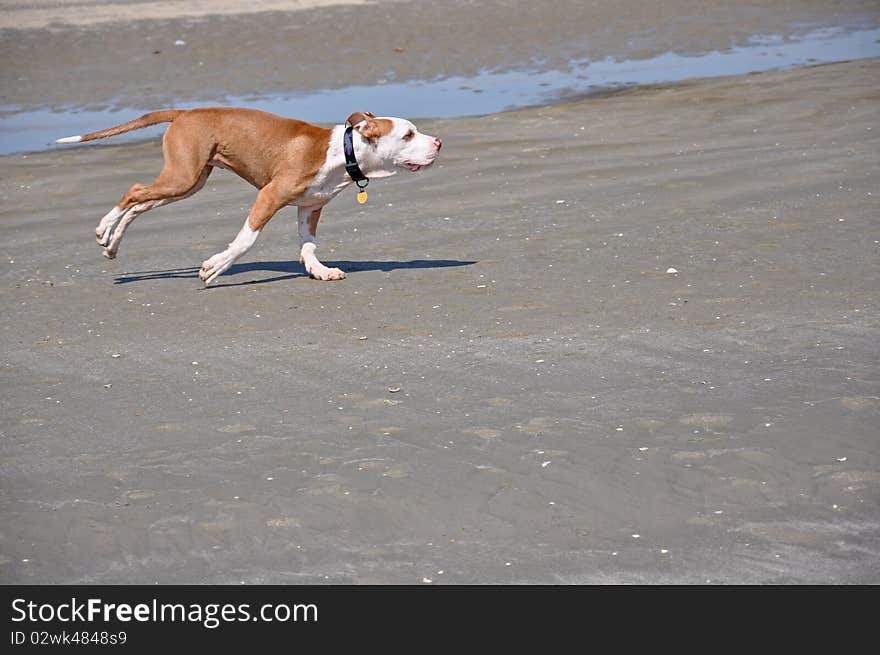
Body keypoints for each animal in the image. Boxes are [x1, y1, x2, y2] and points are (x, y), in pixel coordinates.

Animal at [56, 109, 440, 284]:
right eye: (408, 134)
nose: (438, 143)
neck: (342, 152)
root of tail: (183, 112)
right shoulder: (269, 196)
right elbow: (246, 240)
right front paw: (216, 266)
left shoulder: (310, 207)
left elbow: (308, 245)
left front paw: (318, 269)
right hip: (182, 176)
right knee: (133, 192)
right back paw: (104, 229)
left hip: (189, 181)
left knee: (141, 204)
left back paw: (113, 243)